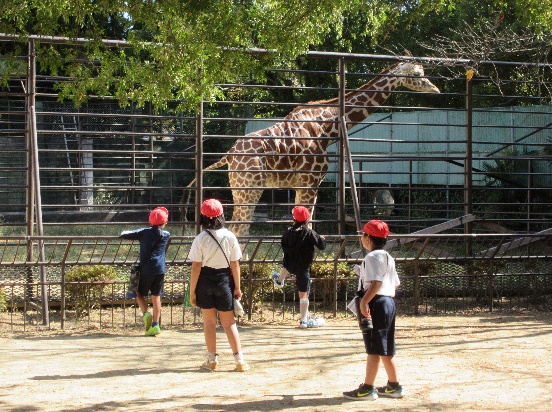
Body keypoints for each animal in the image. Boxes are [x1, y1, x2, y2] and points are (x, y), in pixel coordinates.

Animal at [185, 59, 440, 237]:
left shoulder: (309, 184)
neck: (328, 127)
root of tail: (228, 155)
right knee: (240, 229)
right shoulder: (309, 181)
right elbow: (304, 225)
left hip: (239, 188)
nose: (435, 89)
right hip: (251, 187)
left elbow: (305, 224)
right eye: (417, 74)